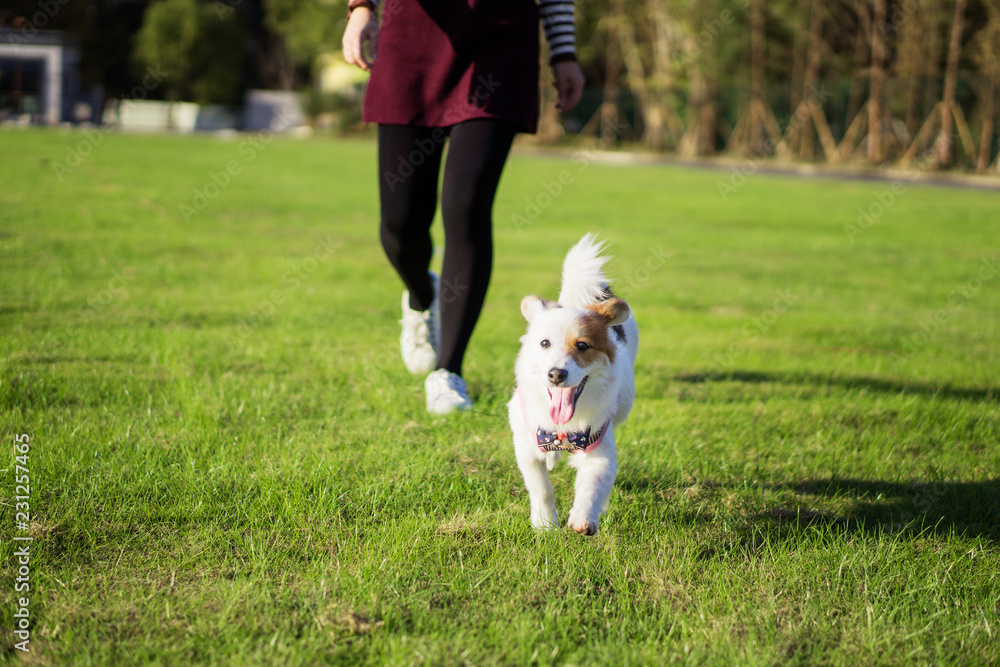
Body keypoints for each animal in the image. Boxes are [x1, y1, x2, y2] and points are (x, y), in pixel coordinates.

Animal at [508, 235, 640, 536]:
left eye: (582, 345)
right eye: (544, 343)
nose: (556, 374)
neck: (563, 430)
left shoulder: (599, 447)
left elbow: (592, 485)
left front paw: (583, 519)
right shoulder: (526, 445)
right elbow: (541, 487)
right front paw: (545, 524)